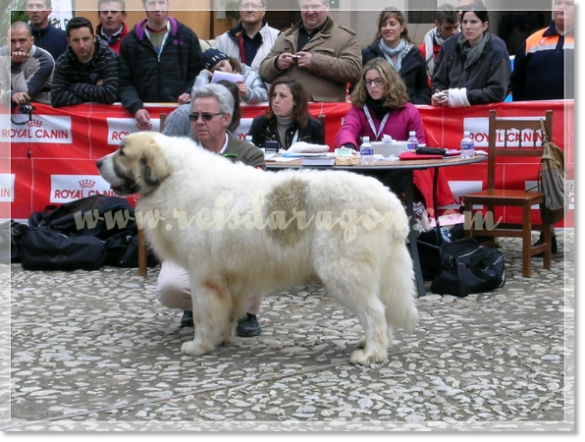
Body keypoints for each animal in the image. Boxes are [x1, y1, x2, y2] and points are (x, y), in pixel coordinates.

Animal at [97, 132, 416, 366]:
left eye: (122, 152)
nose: (98, 162)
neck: (173, 178)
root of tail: (390, 201)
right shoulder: (232, 278)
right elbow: (227, 311)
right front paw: (222, 339)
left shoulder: (203, 276)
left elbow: (202, 313)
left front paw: (200, 345)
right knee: (382, 309)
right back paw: (373, 343)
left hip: (343, 271)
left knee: (374, 311)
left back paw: (372, 354)